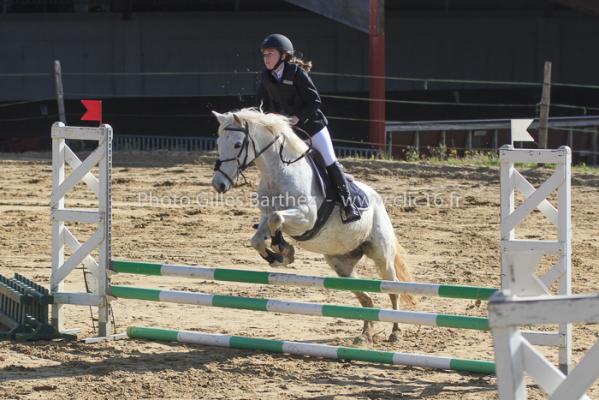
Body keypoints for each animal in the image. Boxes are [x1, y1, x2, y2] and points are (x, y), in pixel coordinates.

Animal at [213, 108, 414, 344]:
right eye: (218, 142)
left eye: (237, 144)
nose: (218, 184)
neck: (278, 172)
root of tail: (378, 199)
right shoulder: (265, 217)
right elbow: (260, 236)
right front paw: (279, 255)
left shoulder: (306, 218)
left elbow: (276, 219)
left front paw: (284, 250)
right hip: (341, 264)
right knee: (365, 297)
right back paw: (365, 334)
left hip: (381, 255)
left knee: (393, 289)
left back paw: (395, 332)